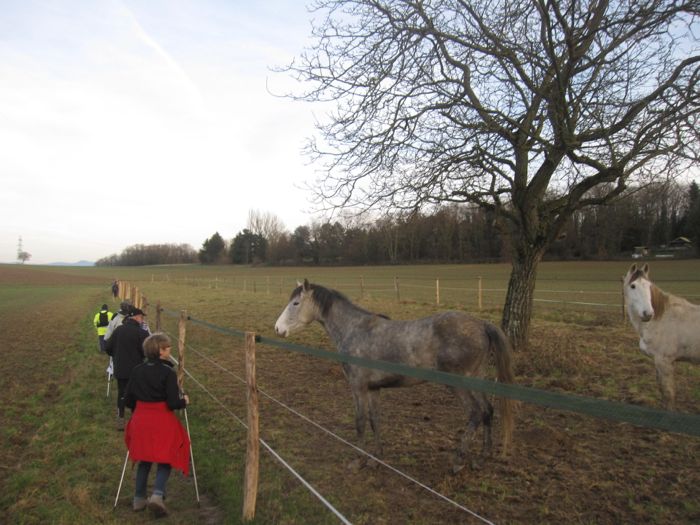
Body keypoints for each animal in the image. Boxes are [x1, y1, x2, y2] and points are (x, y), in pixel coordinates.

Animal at [274, 280, 516, 468]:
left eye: (296, 303)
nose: (278, 328)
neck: (355, 329)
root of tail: (481, 324)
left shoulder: (358, 387)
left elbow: (360, 422)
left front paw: (359, 460)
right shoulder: (373, 389)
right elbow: (374, 420)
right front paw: (376, 457)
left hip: (459, 384)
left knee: (475, 413)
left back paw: (458, 460)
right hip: (477, 380)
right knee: (487, 411)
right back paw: (482, 458)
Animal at [624, 262, 700, 410]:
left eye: (649, 285)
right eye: (633, 286)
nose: (648, 313)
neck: (661, 318)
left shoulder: (664, 361)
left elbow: (668, 394)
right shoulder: (658, 362)